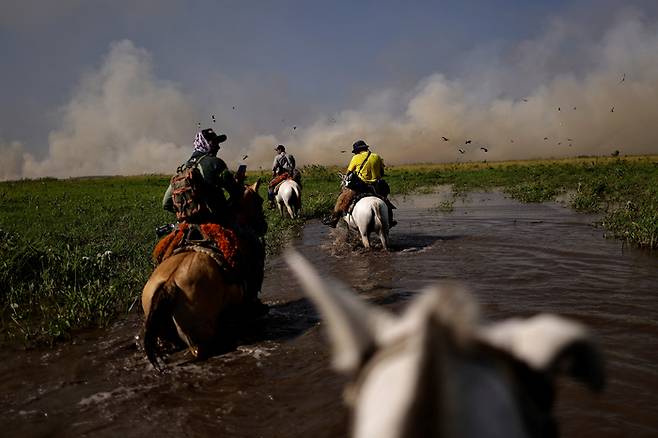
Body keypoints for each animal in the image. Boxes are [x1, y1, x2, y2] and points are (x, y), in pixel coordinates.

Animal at [142, 181, 266, 370]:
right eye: (259, 200)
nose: (263, 225)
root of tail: (169, 283)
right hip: (200, 334)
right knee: (201, 350)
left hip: (162, 332)